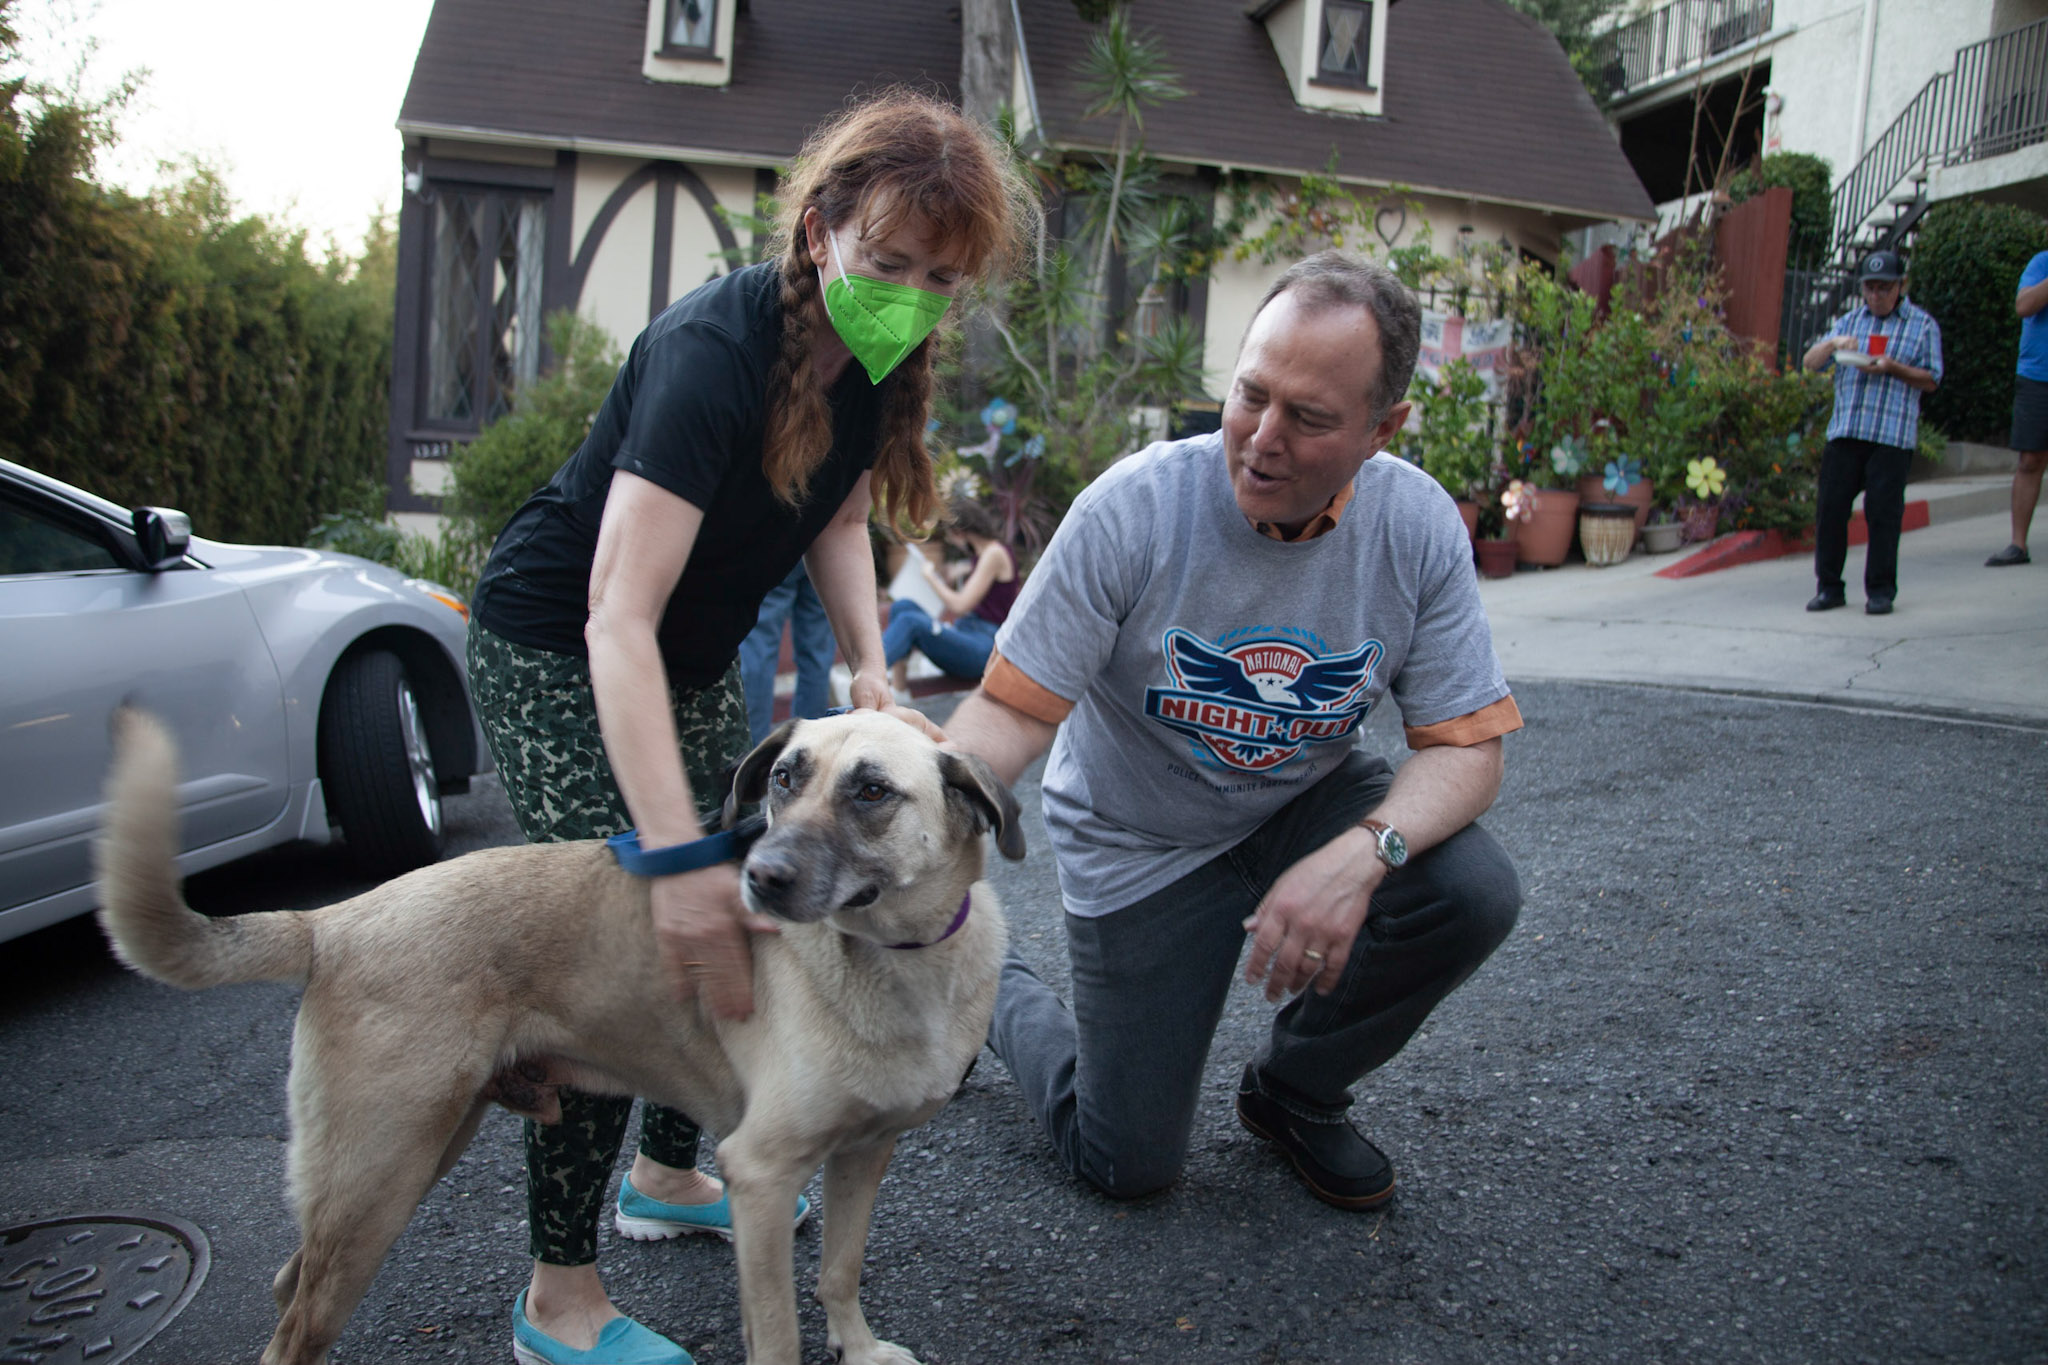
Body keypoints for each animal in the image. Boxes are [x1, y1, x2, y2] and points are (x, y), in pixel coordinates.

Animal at [96, 712, 1024, 1358]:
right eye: (785, 779)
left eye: (872, 791)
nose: (759, 878)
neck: (898, 959)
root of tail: (331, 921)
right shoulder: (760, 1177)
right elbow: (776, 1331)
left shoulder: (863, 1153)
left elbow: (839, 1269)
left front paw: (859, 1350)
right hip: (380, 1175)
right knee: (296, 1327)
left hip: (411, 1153)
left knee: (290, 1287)